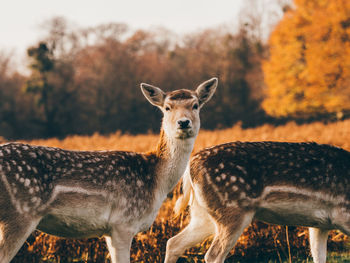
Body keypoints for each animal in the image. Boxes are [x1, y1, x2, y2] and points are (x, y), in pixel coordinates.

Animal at [0, 77, 217, 262]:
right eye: (167, 107)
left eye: (195, 105)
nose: (184, 122)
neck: (156, 181)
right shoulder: (123, 223)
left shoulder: (110, 231)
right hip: (19, 214)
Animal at [165, 142, 350, 263]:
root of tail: (191, 166)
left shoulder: (320, 225)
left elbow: (319, 256)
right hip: (232, 212)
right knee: (213, 255)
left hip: (203, 214)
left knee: (173, 243)